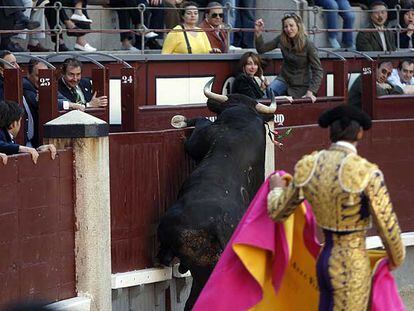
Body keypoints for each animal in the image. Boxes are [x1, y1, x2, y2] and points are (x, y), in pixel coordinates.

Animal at [157, 92, 276, 310]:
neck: (243, 118)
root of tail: (216, 227)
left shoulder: (201, 138)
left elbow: (198, 128)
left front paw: (184, 120)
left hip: (201, 270)